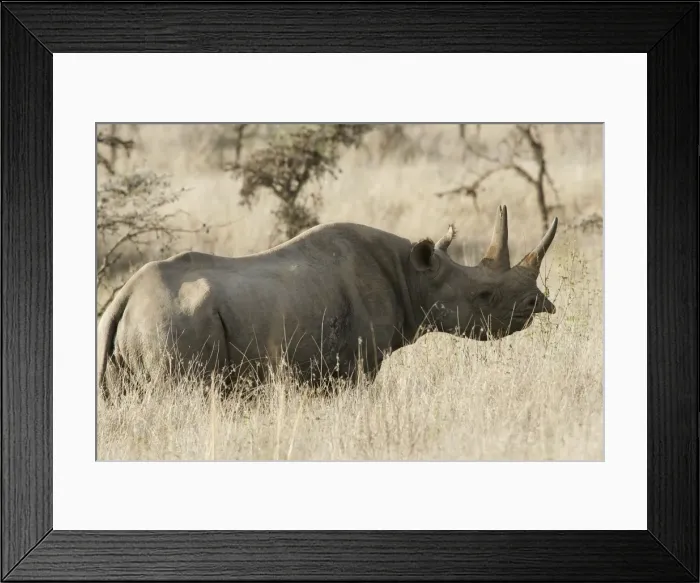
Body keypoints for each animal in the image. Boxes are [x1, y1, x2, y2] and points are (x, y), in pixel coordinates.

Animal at [97, 205, 557, 396]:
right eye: (484, 295)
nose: (540, 306)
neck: (415, 276)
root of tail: (124, 298)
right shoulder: (357, 364)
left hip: (136, 328)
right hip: (174, 322)